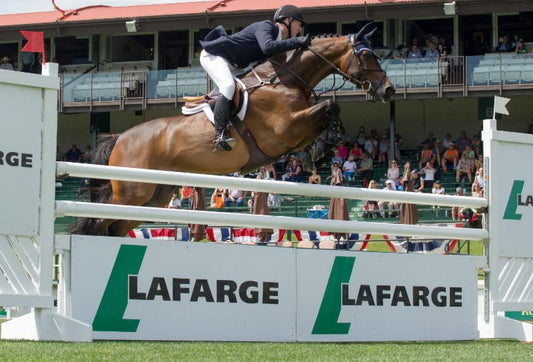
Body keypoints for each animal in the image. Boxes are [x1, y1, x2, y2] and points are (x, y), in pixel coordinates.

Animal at [69, 23, 394, 238]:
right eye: (368, 56)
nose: (388, 91)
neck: (284, 80)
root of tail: (119, 138)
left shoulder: (293, 133)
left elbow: (325, 115)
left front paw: (322, 148)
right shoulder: (285, 128)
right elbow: (330, 105)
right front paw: (329, 140)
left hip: (153, 197)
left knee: (113, 228)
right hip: (132, 192)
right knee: (97, 224)